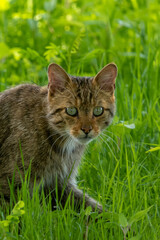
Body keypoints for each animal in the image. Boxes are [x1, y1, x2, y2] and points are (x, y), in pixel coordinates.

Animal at [0, 62, 117, 211]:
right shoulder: (9, 184)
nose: (86, 129)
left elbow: (94, 208)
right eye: (71, 110)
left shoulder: (60, 183)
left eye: (98, 110)